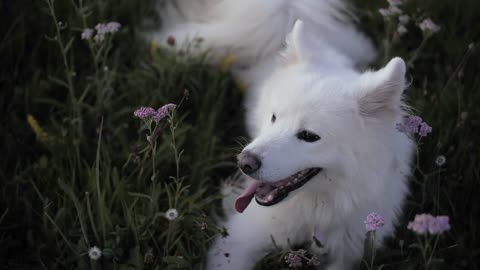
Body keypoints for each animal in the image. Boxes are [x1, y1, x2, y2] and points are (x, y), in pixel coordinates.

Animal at [153, 1, 412, 268]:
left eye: (309, 136)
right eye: (274, 117)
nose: (244, 163)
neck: (317, 211)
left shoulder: (348, 254)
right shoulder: (237, 241)